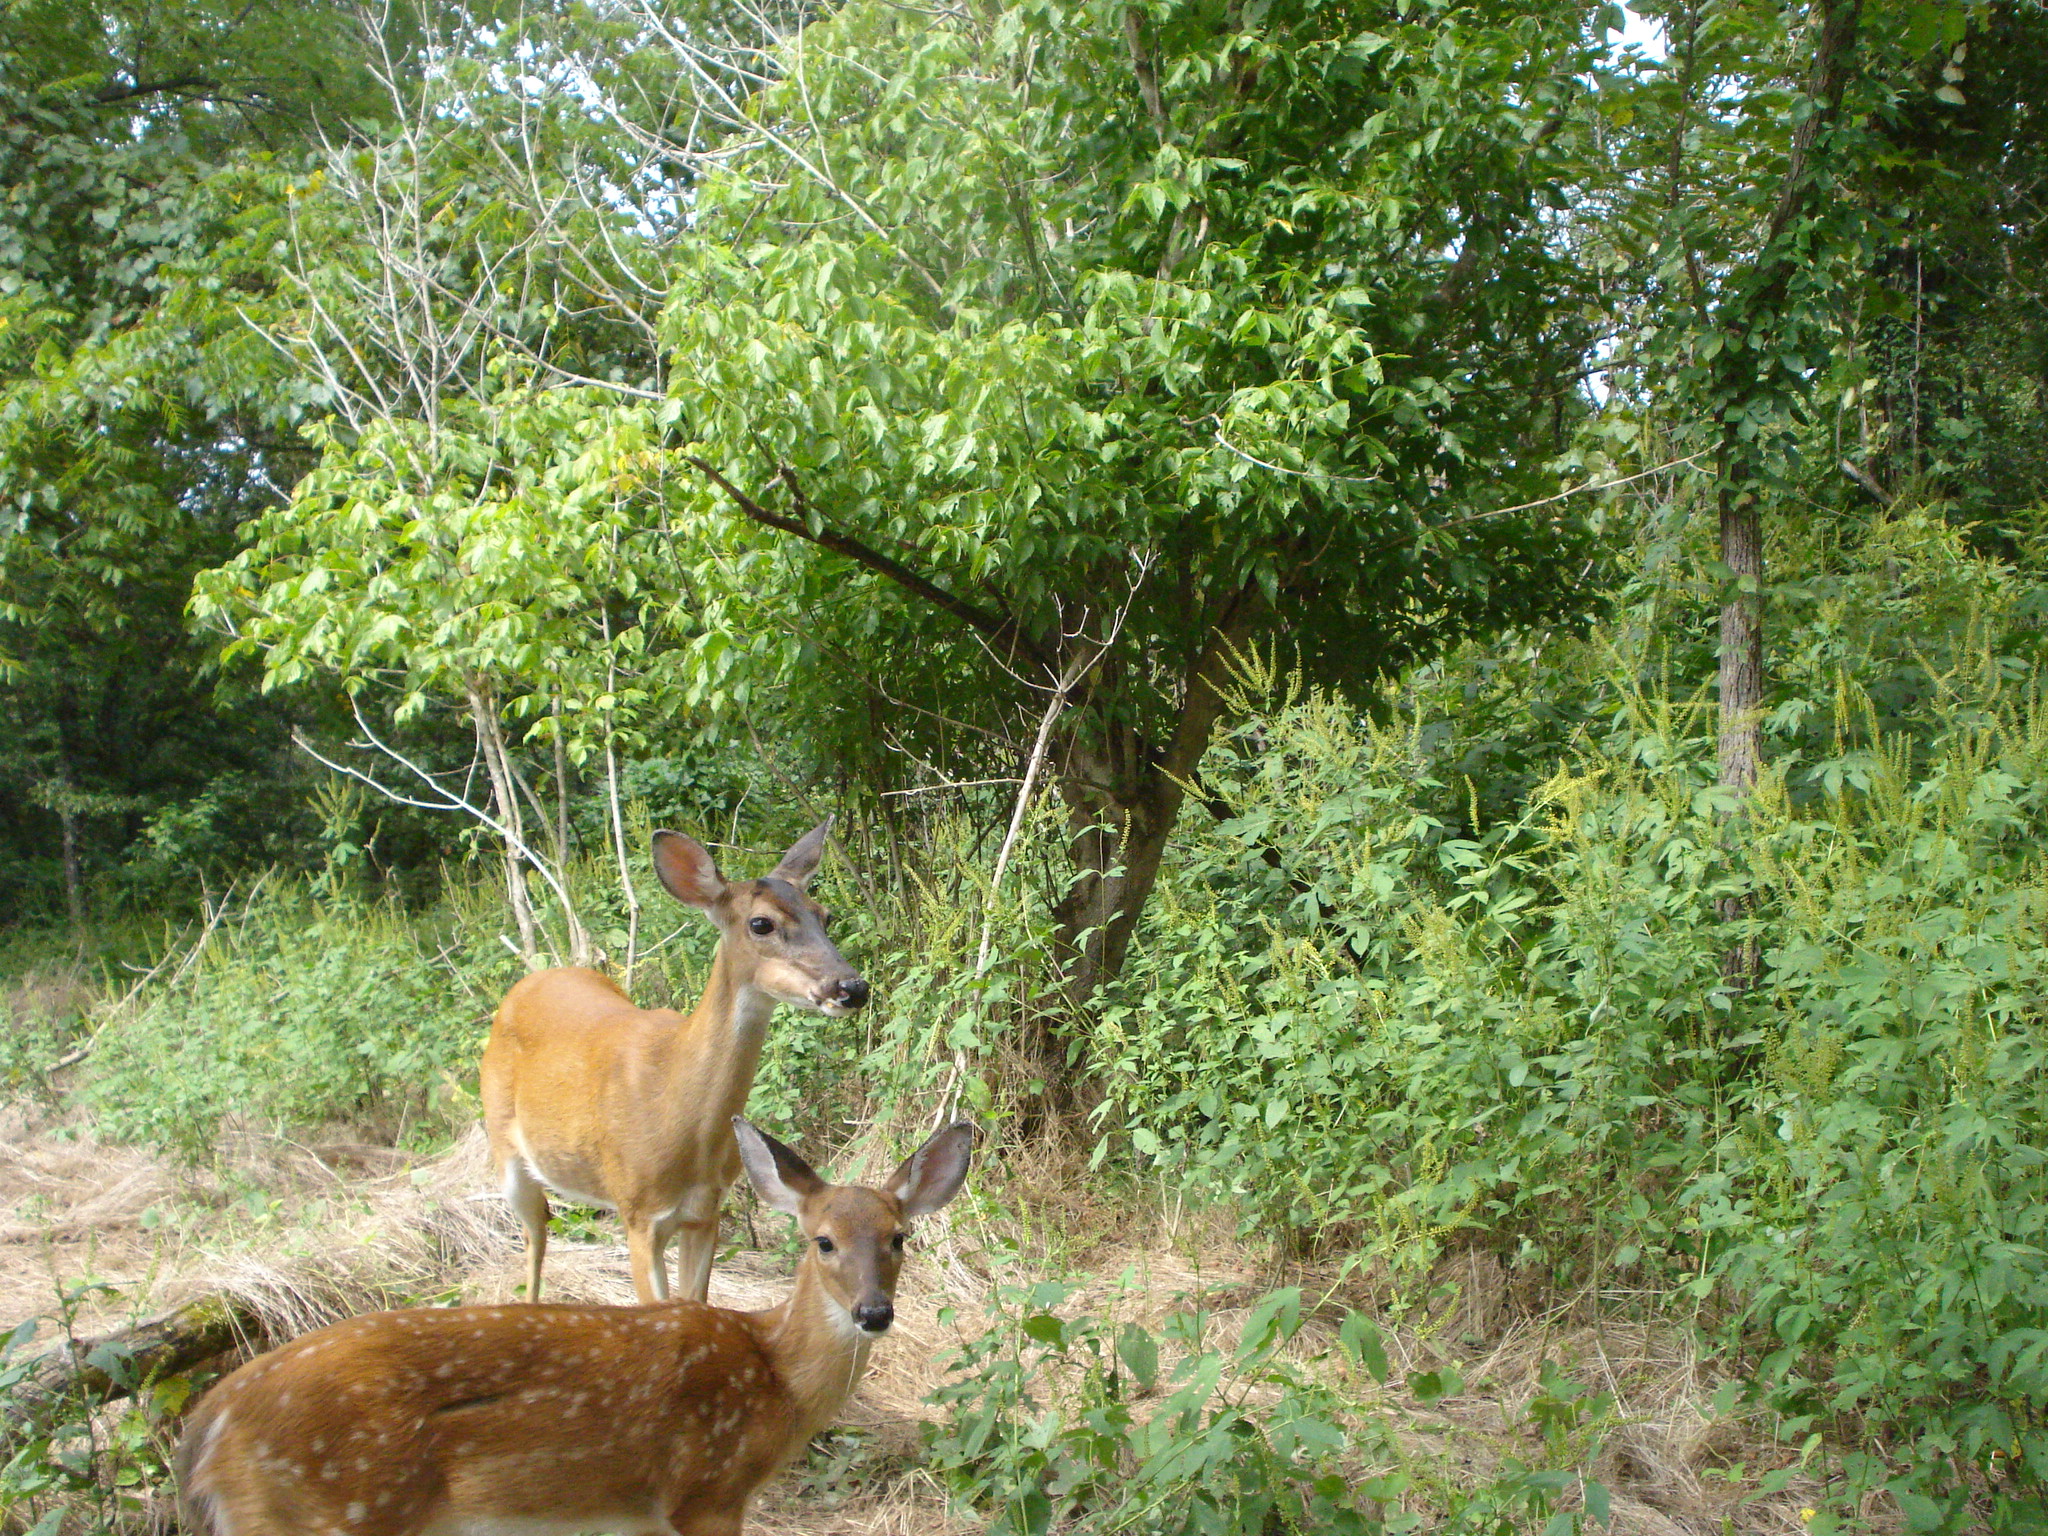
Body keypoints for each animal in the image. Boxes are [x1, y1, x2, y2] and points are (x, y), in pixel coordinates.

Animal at [175, 1116, 975, 1536]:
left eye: (899, 1237)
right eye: (823, 1242)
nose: (874, 1312)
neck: (772, 1372)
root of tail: (208, 1425)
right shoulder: (706, 1491)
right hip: (339, 1509)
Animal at [480, 820, 868, 1305]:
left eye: (824, 915)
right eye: (761, 923)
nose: (852, 987)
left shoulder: (705, 1213)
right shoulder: (638, 1216)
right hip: (504, 1153)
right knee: (535, 1236)